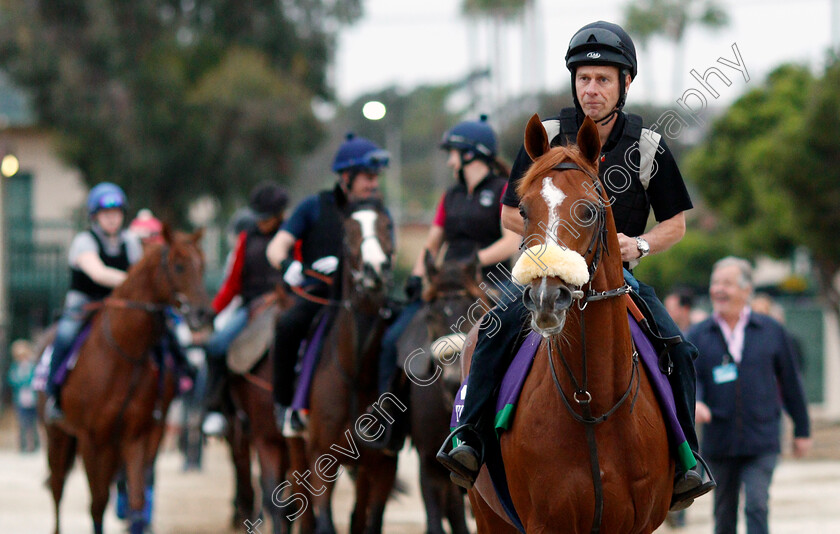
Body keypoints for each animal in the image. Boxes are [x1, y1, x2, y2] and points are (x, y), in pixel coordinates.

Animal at [42, 227, 213, 534]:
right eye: (179, 265)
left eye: (203, 265)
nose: (203, 313)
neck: (124, 352)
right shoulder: (92, 439)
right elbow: (97, 502)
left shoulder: (136, 435)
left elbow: (136, 497)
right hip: (57, 435)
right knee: (58, 488)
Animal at [306, 201, 398, 534]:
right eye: (347, 234)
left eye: (387, 227)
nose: (376, 269)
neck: (356, 373)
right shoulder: (321, 457)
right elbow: (324, 521)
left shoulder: (383, 463)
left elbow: (371, 521)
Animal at [462, 115, 672, 532]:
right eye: (523, 211)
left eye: (588, 211)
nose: (546, 296)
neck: (593, 402)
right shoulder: (546, 522)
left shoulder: (639, 524)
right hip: (487, 512)